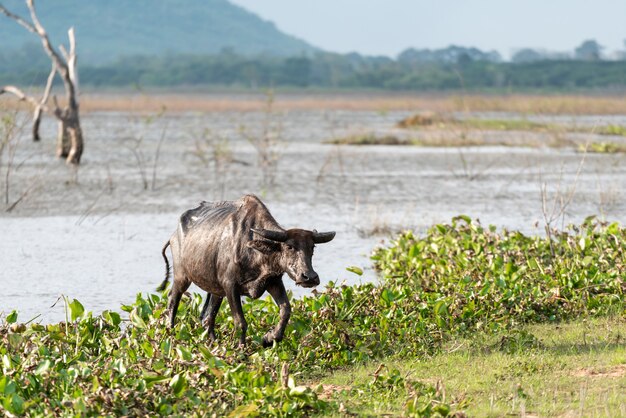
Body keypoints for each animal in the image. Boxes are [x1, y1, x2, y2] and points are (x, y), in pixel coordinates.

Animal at [157, 195, 332, 346]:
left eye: (312, 247)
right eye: (289, 246)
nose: (309, 277)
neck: (254, 250)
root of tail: (174, 236)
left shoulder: (273, 281)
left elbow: (286, 310)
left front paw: (269, 338)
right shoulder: (230, 286)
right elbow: (240, 322)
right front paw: (241, 347)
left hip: (216, 290)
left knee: (207, 317)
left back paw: (213, 343)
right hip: (182, 277)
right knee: (172, 301)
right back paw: (171, 334)